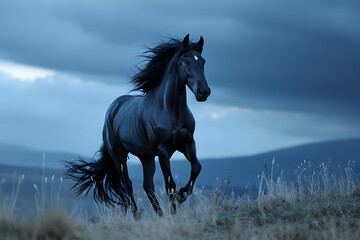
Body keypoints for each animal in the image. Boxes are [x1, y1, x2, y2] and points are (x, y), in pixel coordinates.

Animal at [65, 34, 211, 218]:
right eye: (186, 61)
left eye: (203, 61)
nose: (203, 92)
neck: (170, 110)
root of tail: (112, 109)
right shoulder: (163, 150)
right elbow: (170, 184)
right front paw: (174, 210)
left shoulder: (187, 143)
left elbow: (196, 168)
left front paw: (182, 196)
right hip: (119, 156)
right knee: (127, 184)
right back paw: (137, 216)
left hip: (146, 156)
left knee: (147, 185)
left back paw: (159, 214)